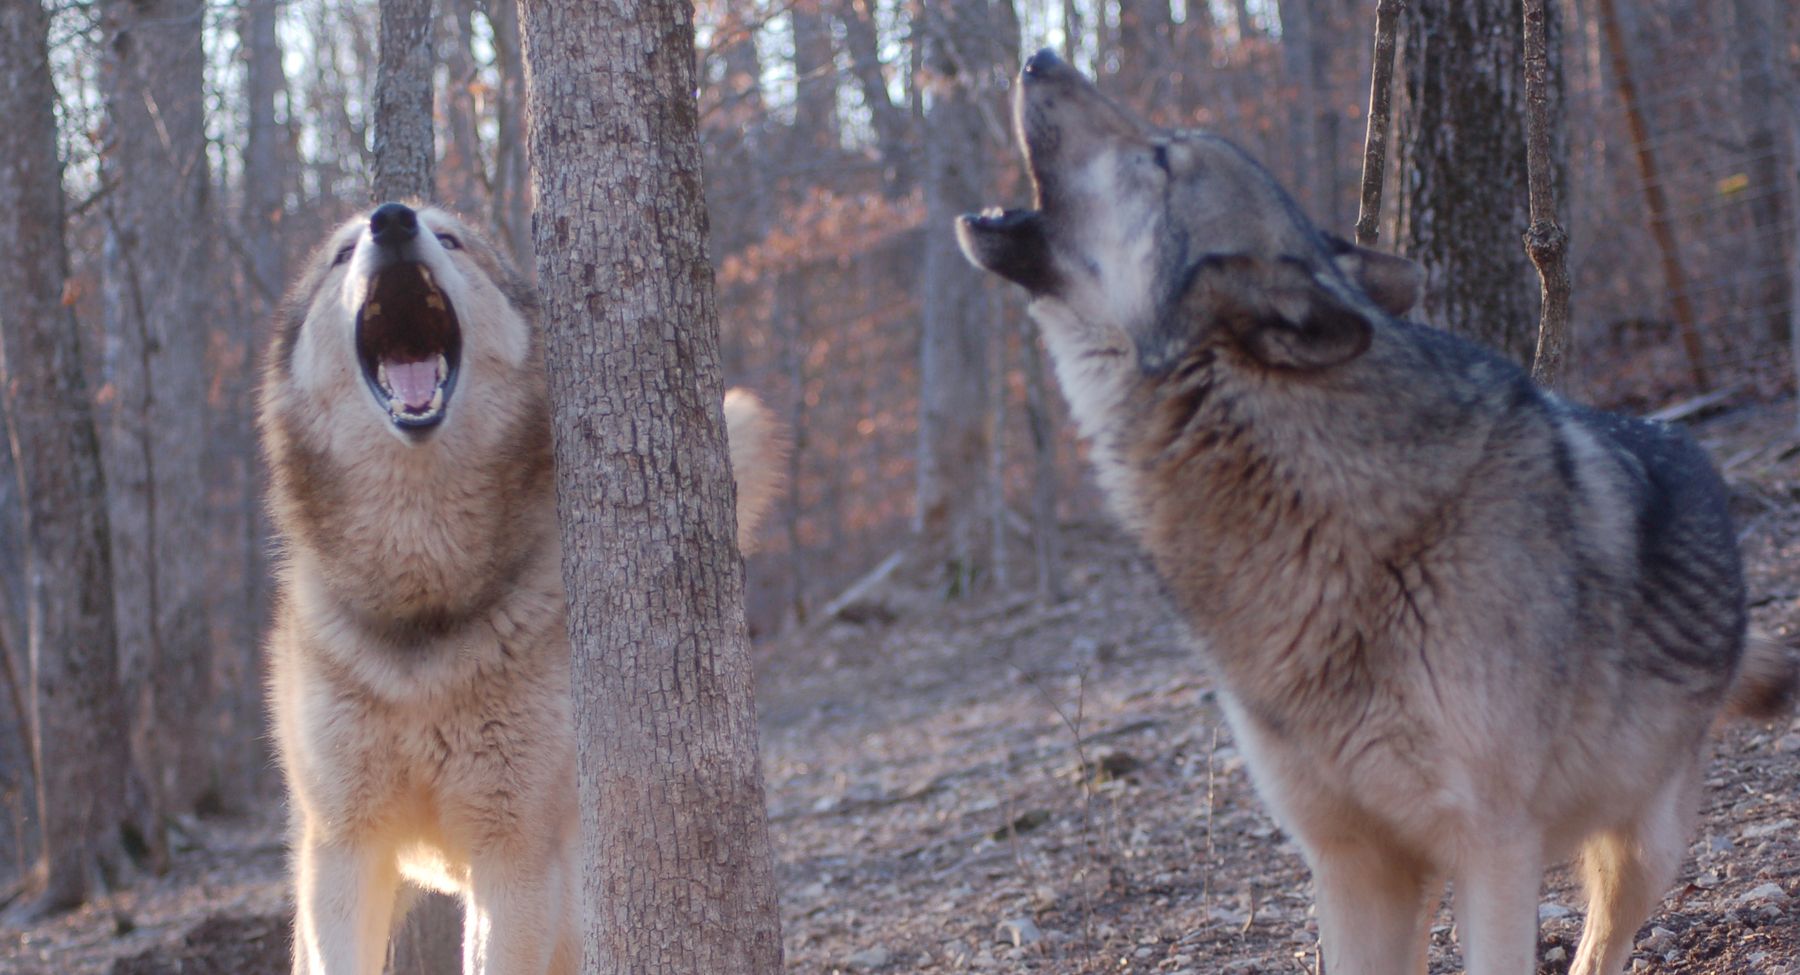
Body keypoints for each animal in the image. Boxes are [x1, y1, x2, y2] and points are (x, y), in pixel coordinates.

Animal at [260, 203, 784, 975]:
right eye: (344, 252)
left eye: (450, 239)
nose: (393, 218)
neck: (426, 594)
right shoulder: (346, 849)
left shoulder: (514, 854)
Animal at [958, 50, 1795, 975]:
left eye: (1162, 158)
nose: (1039, 56)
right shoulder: (1350, 860)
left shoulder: (1493, 849)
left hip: (1639, 846)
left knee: (1601, 942)